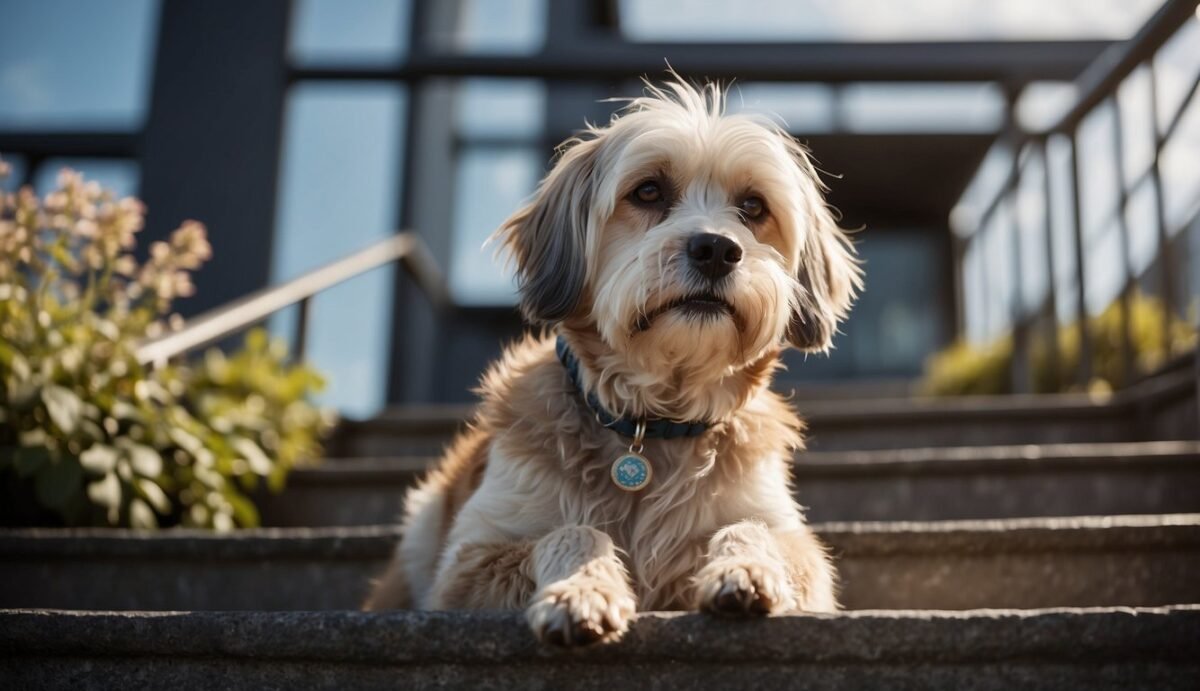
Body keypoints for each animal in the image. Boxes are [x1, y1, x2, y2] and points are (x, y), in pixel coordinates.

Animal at [364, 77, 864, 643]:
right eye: (647, 191)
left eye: (753, 206)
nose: (716, 249)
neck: (653, 423)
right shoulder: (468, 565)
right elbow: (571, 531)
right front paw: (583, 589)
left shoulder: (800, 549)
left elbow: (750, 528)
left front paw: (745, 568)